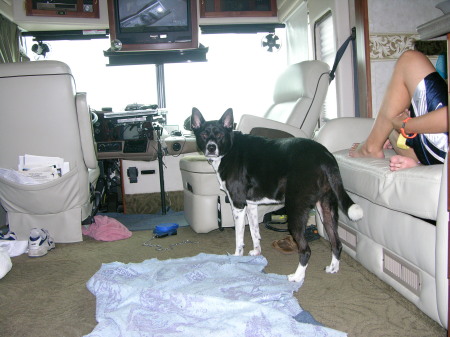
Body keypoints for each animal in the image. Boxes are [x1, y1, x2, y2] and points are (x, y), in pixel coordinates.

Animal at [192, 107, 364, 280]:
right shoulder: (251, 205)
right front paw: (257, 253)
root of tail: (325, 156)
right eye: (203, 135)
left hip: (295, 210)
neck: (230, 148)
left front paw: (236, 259)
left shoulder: (238, 204)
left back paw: (296, 277)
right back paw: (333, 268)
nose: (211, 147)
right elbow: (255, 231)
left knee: (306, 249)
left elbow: (239, 238)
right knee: (336, 243)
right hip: (326, 209)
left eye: (220, 135)